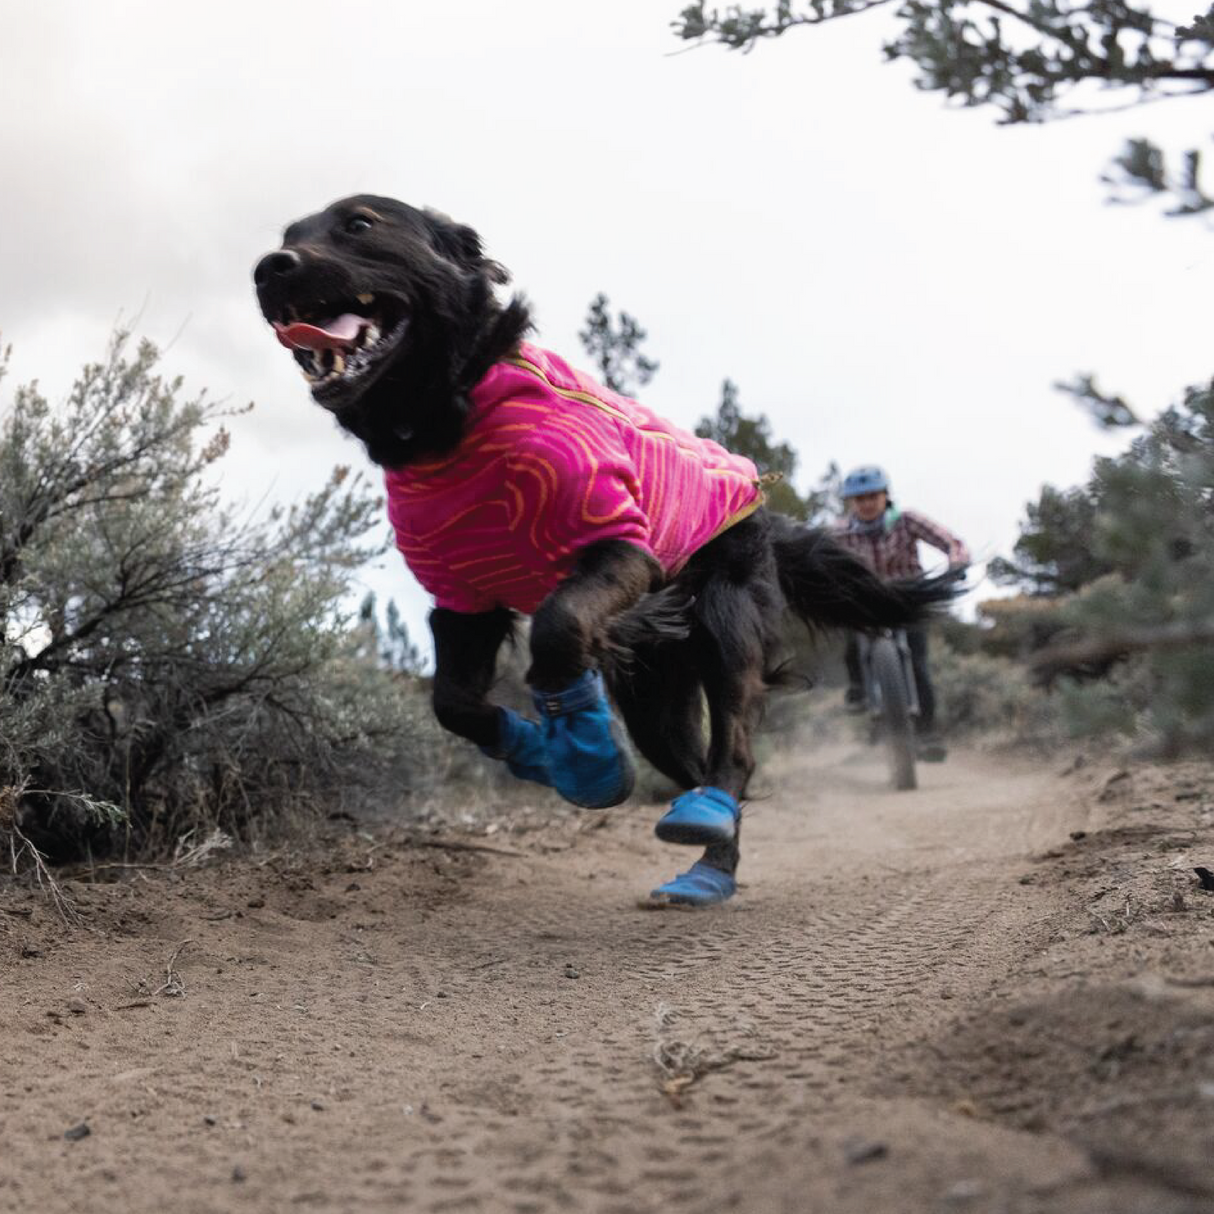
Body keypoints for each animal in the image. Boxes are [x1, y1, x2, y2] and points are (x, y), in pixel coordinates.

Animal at [256, 196, 956, 903]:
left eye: (360, 224)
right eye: (288, 235)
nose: (269, 269)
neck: (452, 424)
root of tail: (754, 485)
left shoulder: (618, 542)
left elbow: (558, 629)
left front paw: (585, 750)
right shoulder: (460, 598)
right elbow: (453, 702)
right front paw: (535, 748)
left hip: (725, 610)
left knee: (733, 740)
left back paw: (708, 825)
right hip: (655, 704)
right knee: (694, 764)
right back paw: (708, 861)